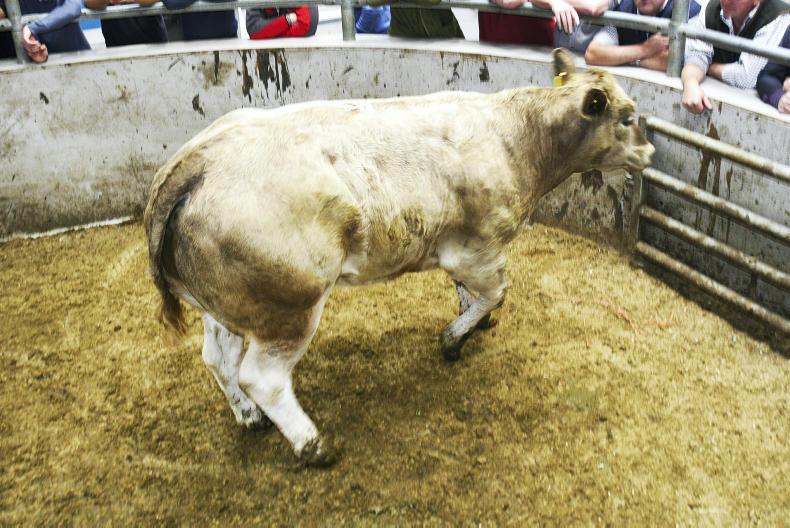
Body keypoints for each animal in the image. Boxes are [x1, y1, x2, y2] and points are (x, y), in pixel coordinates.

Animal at [144, 49, 654, 466]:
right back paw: (314, 446)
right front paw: (454, 337)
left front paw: (471, 323)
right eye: (627, 117)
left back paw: (251, 418)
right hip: (288, 306)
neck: (518, 137)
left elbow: (471, 296)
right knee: (261, 377)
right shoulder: (479, 249)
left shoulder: (462, 251)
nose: (649, 152)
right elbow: (496, 293)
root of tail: (199, 160)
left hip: (225, 304)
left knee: (218, 359)